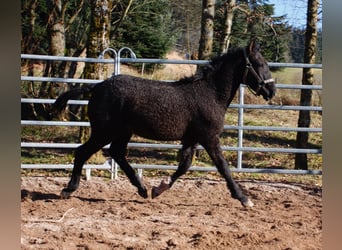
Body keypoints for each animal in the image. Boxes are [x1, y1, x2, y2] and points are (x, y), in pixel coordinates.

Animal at [52, 39, 276, 207]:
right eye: (260, 64)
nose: (272, 91)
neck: (210, 93)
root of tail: (97, 87)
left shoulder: (192, 139)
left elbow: (184, 166)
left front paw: (159, 188)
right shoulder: (209, 138)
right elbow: (223, 167)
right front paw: (244, 198)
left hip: (122, 132)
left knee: (117, 153)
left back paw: (142, 189)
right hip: (104, 132)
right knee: (82, 152)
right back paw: (68, 190)